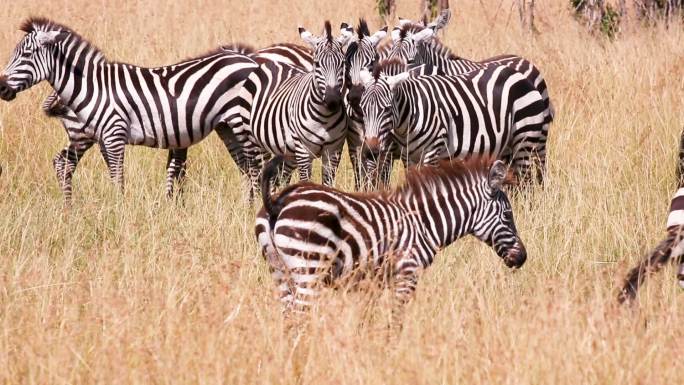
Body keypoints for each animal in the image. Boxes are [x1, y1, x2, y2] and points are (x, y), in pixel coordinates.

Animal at [0, 18, 260, 200]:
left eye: (26, 54)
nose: (2, 88)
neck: (93, 86)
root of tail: (249, 60)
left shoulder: (114, 134)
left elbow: (118, 178)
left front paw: (119, 211)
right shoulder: (104, 137)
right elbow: (116, 177)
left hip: (241, 123)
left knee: (255, 166)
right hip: (226, 126)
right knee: (246, 167)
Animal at [236, 20, 352, 195]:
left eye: (343, 63)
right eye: (317, 64)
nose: (332, 101)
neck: (324, 118)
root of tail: (270, 62)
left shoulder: (333, 151)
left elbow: (328, 184)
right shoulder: (304, 151)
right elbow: (306, 181)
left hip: (286, 150)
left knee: (279, 177)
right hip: (252, 141)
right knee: (255, 175)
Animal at [254, 154, 528, 320]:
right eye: (508, 215)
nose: (523, 258)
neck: (423, 224)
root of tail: (276, 202)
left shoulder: (372, 284)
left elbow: (368, 319)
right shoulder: (407, 274)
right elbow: (395, 321)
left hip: (279, 272)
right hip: (308, 269)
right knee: (299, 319)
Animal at [358, 58, 544, 186]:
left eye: (387, 109)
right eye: (362, 108)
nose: (371, 151)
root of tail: (518, 75)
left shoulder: (432, 152)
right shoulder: (408, 157)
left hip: (525, 141)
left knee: (527, 184)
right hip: (506, 147)